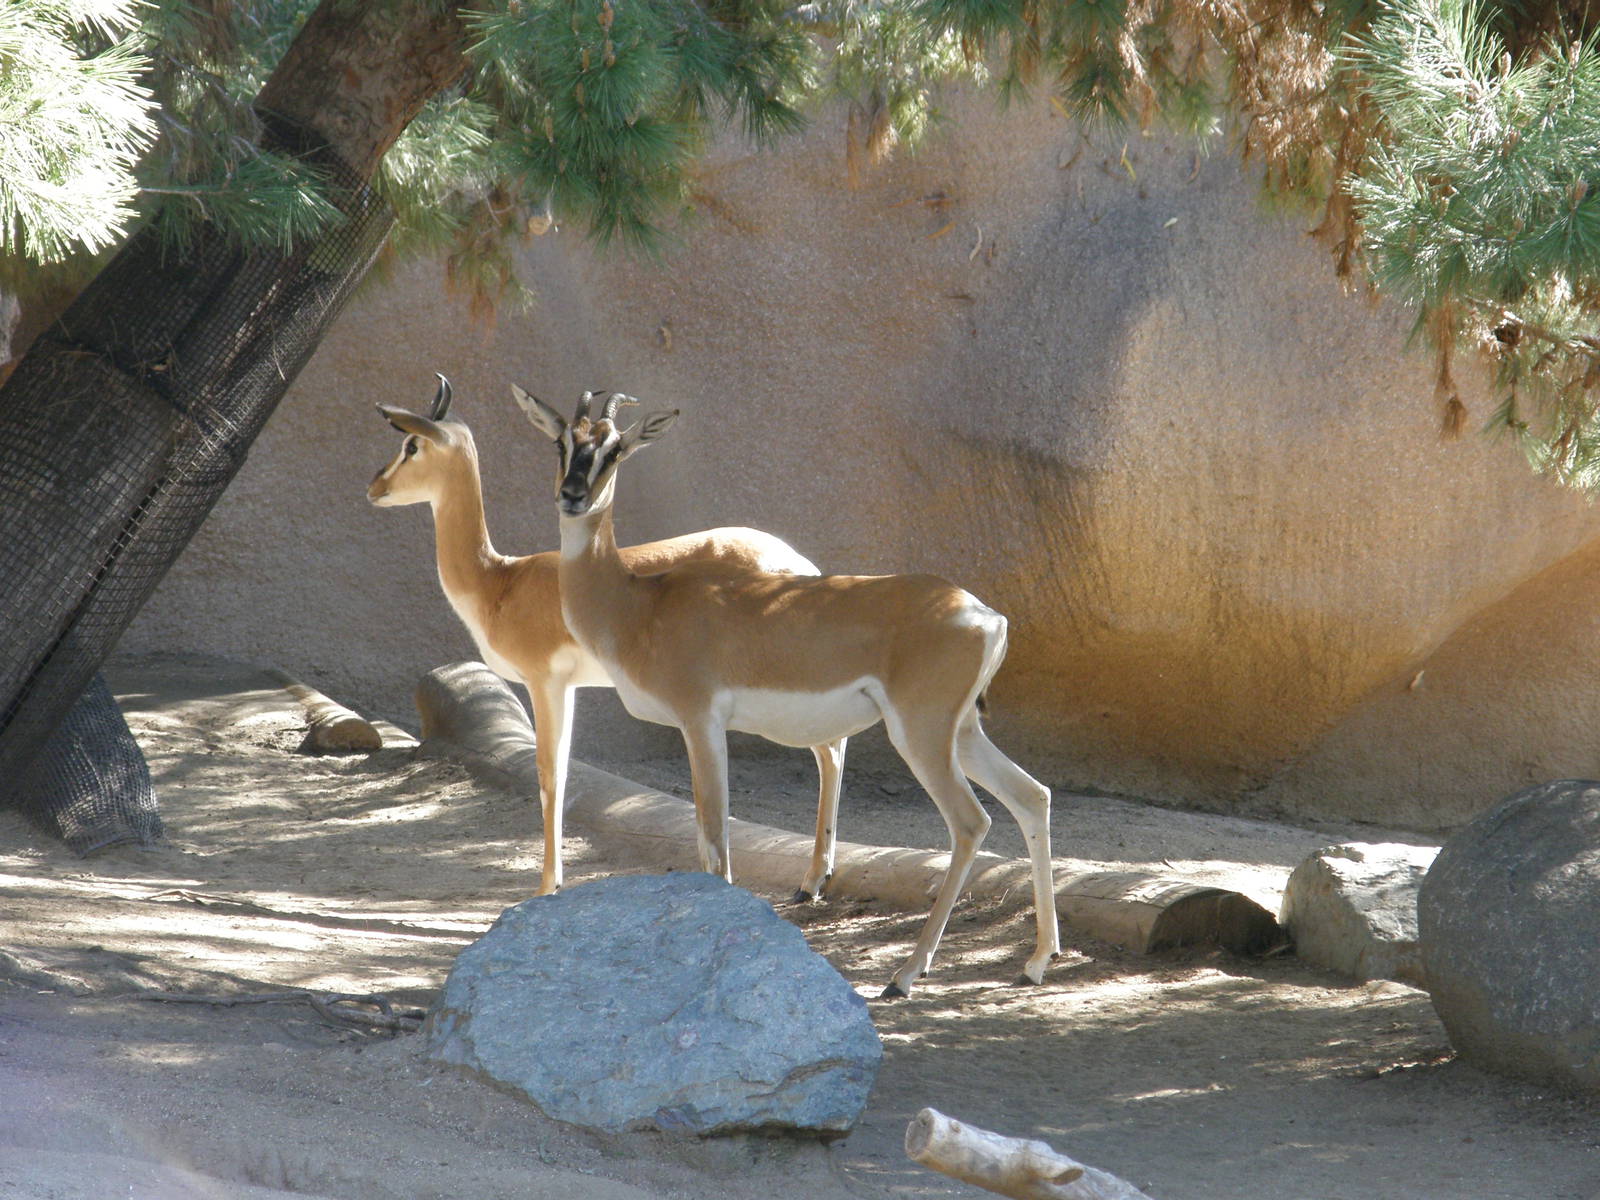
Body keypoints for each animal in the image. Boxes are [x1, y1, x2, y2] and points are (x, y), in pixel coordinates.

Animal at [368, 375, 848, 897]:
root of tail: (802, 568)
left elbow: (550, 775)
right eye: (560, 442)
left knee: (829, 750)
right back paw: (814, 880)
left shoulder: (544, 682)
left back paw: (812, 880)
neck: (500, 581)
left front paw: (547, 887)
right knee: (831, 749)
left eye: (411, 445)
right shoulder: (571, 684)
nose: (376, 486)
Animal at [513, 385, 1061, 998]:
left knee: (970, 822)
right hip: (961, 732)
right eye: (562, 442)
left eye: (614, 449)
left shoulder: (700, 722)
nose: (572, 495)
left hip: (920, 734)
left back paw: (905, 974)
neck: (640, 605)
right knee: (1032, 796)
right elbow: (706, 838)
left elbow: (714, 836)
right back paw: (1037, 960)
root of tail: (987, 616)